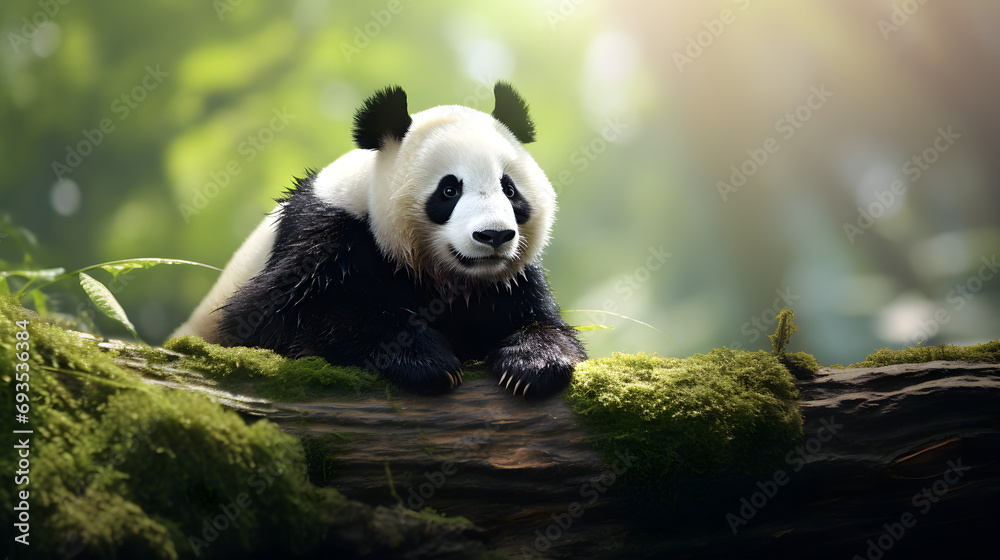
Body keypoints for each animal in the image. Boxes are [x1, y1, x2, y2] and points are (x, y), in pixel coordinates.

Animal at [172, 82, 586, 398]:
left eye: (510, 189)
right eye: (449, 190)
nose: (494, 235)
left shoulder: (512, 280)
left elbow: (542, 319)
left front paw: (533, 364)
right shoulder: (324, 235)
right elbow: (275, 317)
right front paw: (426, 360)